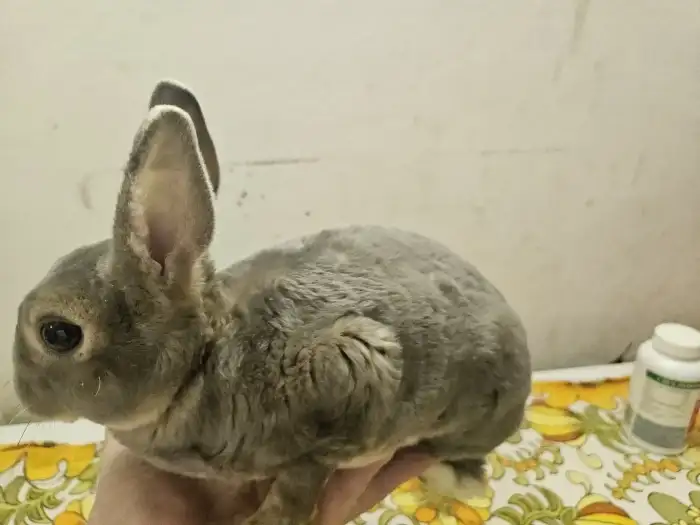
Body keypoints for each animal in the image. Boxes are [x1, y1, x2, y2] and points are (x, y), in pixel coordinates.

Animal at [13, 79, 531, 525]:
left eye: (57, 333)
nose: (22, 394)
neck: (202, 362)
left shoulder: (354, 368)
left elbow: (304, 473)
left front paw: (268, 519)